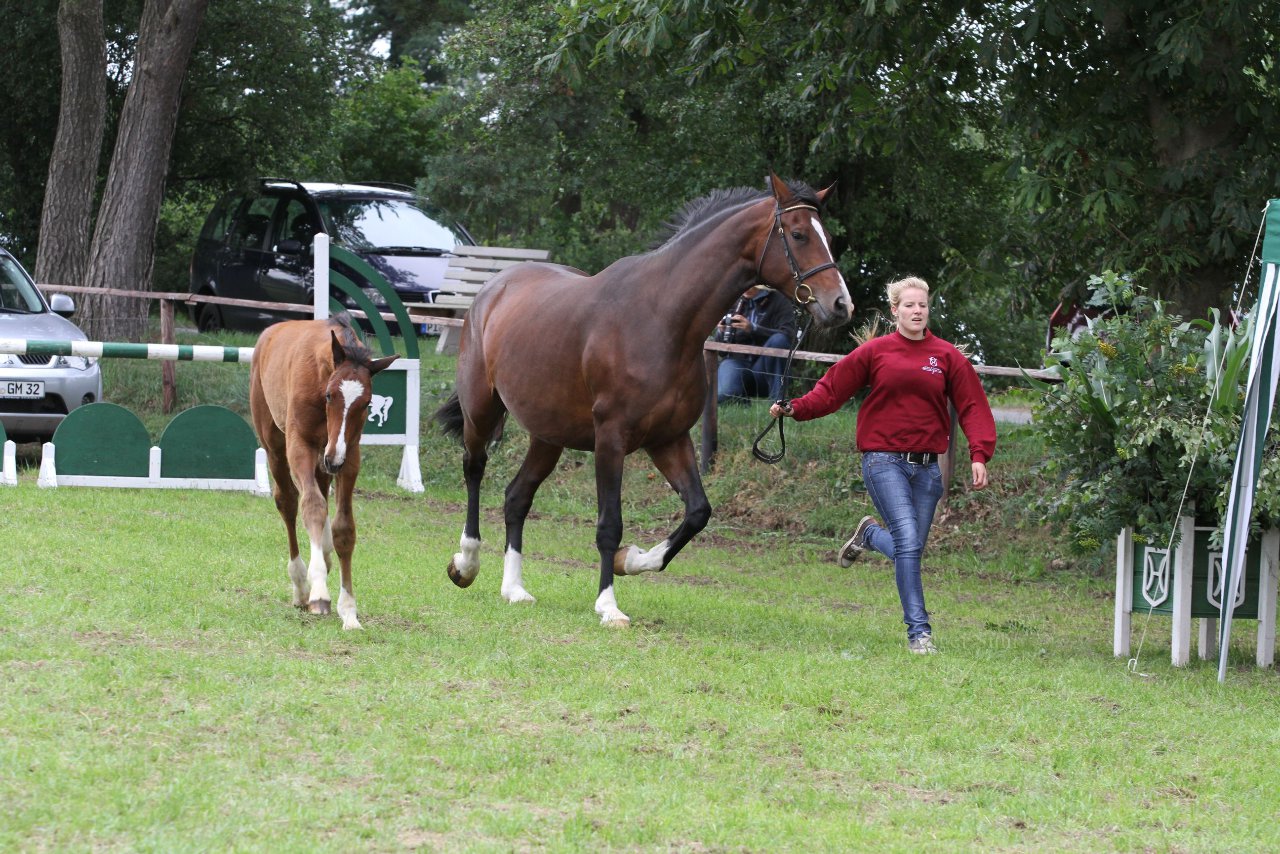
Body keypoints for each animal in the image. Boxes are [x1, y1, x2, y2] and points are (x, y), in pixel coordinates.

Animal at [245, 313, 394, 627]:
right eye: (329, 396)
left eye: (366, 403)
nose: (333, 459)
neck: (322, 372)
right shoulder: (299, 446)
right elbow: (311, 505)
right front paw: (319, 593)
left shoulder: (348, 454)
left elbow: (344, 528)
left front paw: (348, 609)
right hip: (276, 446)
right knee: (288, 501)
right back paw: (301, 584)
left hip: (325, 457)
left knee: (322, 493)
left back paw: (323, 559)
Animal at [435, 175, 855, 627]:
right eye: (798, 235)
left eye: (829, 237)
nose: (840, 305)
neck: (662, 319)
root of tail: (492, 289)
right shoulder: (611, 440)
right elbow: (609, 526)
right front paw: (608, 605)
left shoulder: (669, 439)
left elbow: (697, 512)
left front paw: (631, 559)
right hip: (482, 411)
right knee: (474, 469)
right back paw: (466, 563)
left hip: (548, 436)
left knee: (517, 498)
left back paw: (514, 589)